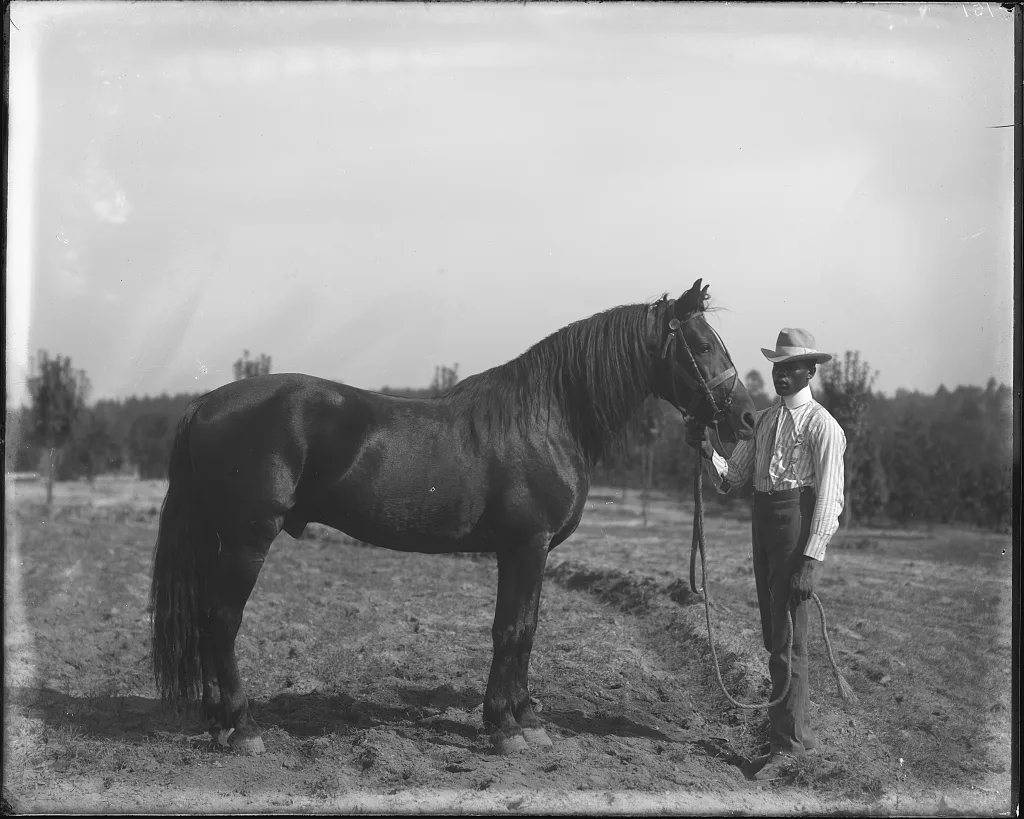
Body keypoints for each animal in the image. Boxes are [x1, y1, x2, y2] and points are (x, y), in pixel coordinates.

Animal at [149, 278, 756, 756]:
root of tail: (205, 404)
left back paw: (217, 724)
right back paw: (244, 728)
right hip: (249, 539)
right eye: (703, 345)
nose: (749, 419)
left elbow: (526, 628)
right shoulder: (524, 546)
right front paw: (506, 728)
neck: (548, 419)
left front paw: (524, 719)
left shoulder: (530, 552)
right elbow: (511, 630)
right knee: (222, 621)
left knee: (205, 620)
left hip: (222, 540)